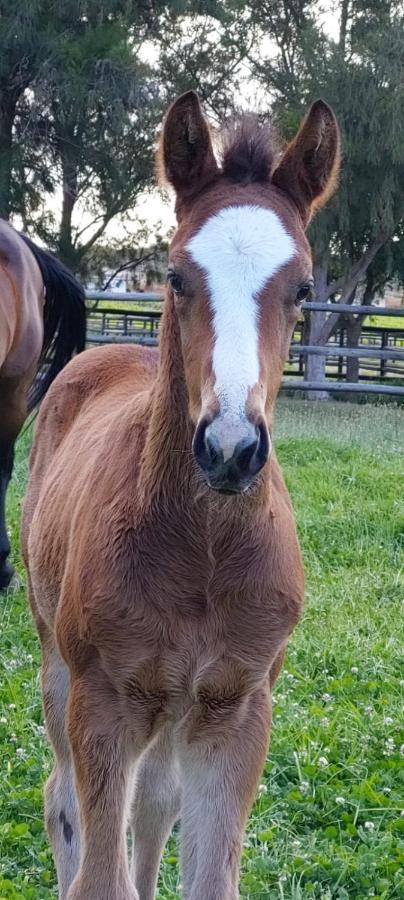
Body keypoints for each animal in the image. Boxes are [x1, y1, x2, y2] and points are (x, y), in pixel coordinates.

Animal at [21, 93, 338, 900]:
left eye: (304, 289)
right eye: (174, 275)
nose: (229, 448)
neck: (203, 557)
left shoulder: (236, 709)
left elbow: (205, 875)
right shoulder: (103, 702)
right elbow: (99, 877)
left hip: (174, 704)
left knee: (156, 798)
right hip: (59, 663)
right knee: (62, 799)